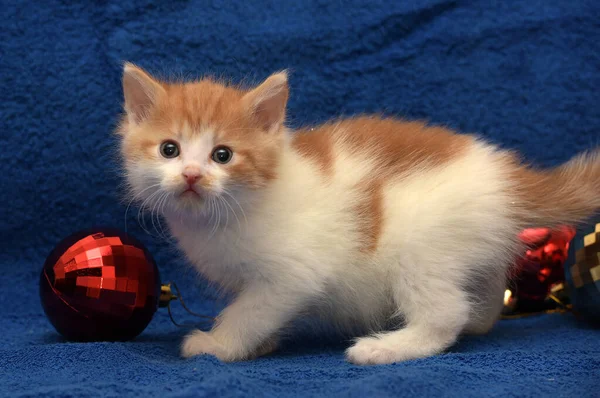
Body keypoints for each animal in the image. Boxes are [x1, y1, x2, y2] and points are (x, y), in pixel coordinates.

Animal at [117, 63, 600, 366]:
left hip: (420, 246)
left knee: (446, 314)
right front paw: (260, 344)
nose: (192, 175)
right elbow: (255, 311)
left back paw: (386, 348)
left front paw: (219, 344)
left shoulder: (292, 275)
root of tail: (506, 177)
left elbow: (249, 311)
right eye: (169, 150)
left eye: (223, 155)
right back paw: (481, 317)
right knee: (481, 299)